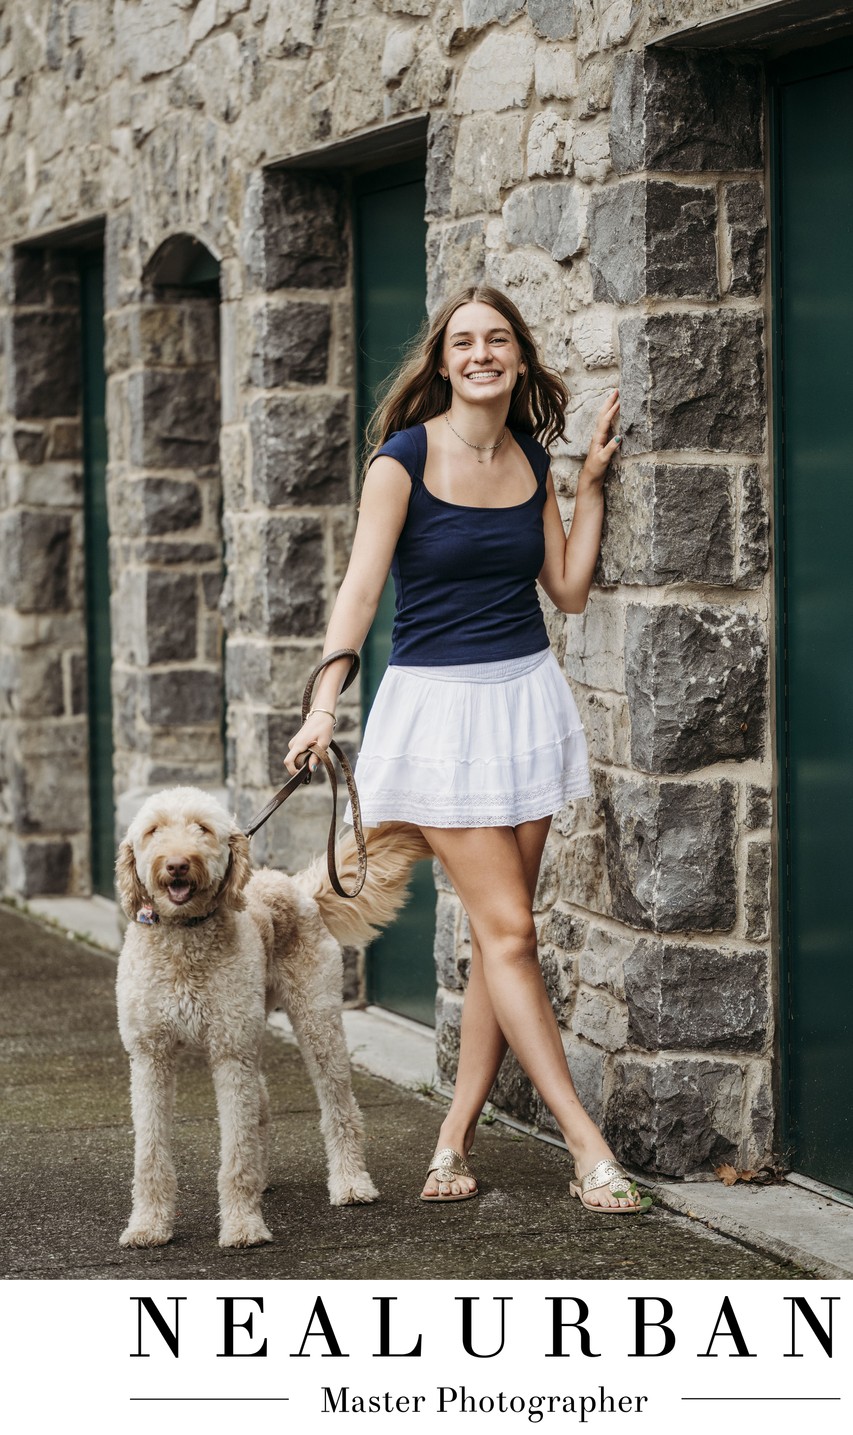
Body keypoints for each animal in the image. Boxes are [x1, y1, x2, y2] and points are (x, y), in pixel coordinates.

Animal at [116, 792, 427, 1251]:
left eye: (202, 829)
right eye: (153, 831)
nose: (176, 864)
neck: (185, 937)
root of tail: (298, 887)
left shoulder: (230, 1055)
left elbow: (236, 1153)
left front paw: (243, 1225)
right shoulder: (150, 1057)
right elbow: (150, 1152)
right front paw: (148, 1225)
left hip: (317, 1022)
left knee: (340, 1107)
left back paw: (351, 1182)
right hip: (254, 1028)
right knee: (260, 1101)